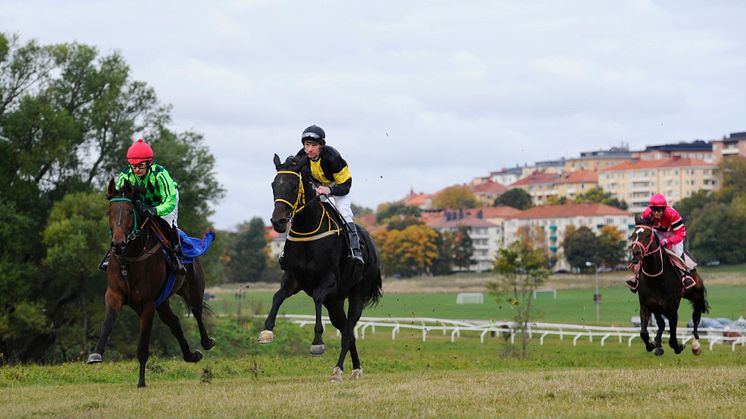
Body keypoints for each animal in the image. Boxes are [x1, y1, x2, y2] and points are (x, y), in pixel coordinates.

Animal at [88, 177, 215, 388]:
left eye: (130, 212)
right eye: (109, 212)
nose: (118, 244)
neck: (130, 259)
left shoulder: (147, 304)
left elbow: (142, 347)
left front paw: (141, 381)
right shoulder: (114, 294)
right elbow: (108, 322)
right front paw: (95, 354)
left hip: (193, 288)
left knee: (196, 311)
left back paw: (206, 343)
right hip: (162, 302)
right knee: (174, 322)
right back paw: (191, 355)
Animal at [258, 153, 380, 382]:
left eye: (293, 185)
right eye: (273, 185)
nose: (278, 222)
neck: (307, 230)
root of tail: (371, 244)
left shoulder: (329, 280)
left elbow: (316, 297)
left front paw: (317, 343)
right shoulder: (293, 279)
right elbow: (277, 297)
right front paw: (266, 332)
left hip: (357, 296)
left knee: (348, 332)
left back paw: (338, 370)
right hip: (335, 303)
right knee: (348, 332)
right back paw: (355, 369)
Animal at [628, 217, 708, 358]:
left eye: (648, 235)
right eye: (633, 235)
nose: (635, 254)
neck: (655, 277)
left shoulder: (672, 309)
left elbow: (672, 338)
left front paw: (679, 346)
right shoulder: (646, 305)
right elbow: (644, 333)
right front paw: (653, 344)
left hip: (697, 295)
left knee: (696, 318)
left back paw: (696, 345)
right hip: (657, 307)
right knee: (661, 323)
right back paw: (658, 345)